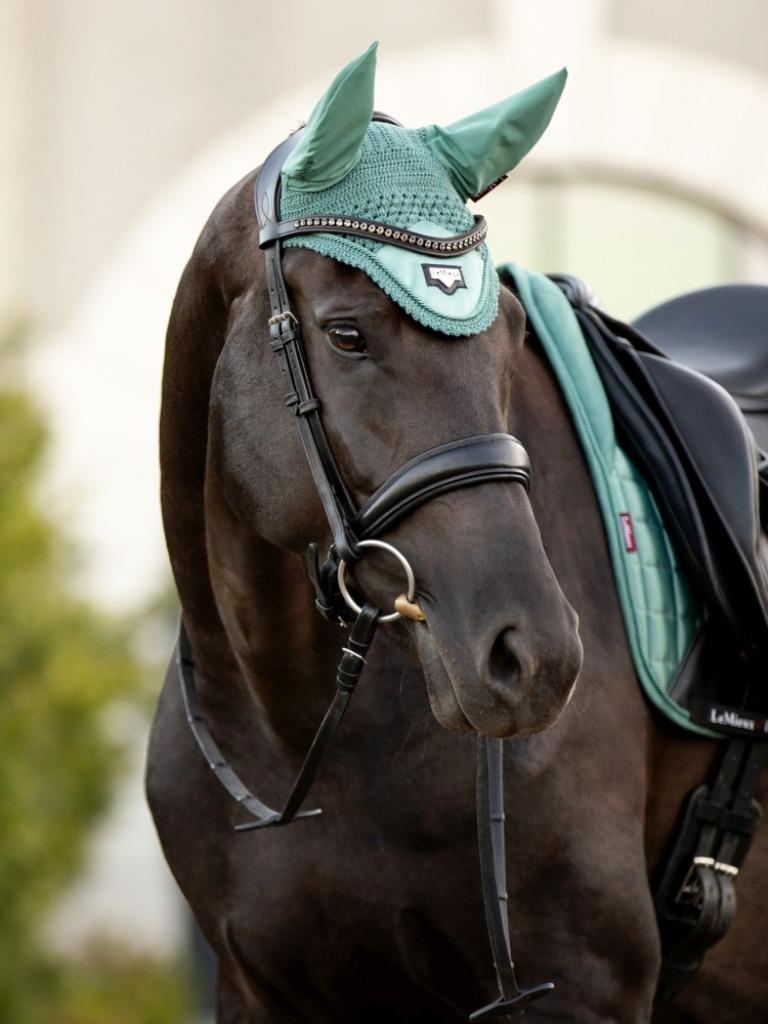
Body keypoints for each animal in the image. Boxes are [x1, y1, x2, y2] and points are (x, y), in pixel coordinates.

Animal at [146, 46, 768, 1023]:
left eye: (506, 332)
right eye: (346, 334)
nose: (534, 657)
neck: (298, 739)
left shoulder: (580, 986)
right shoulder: (258, 990)